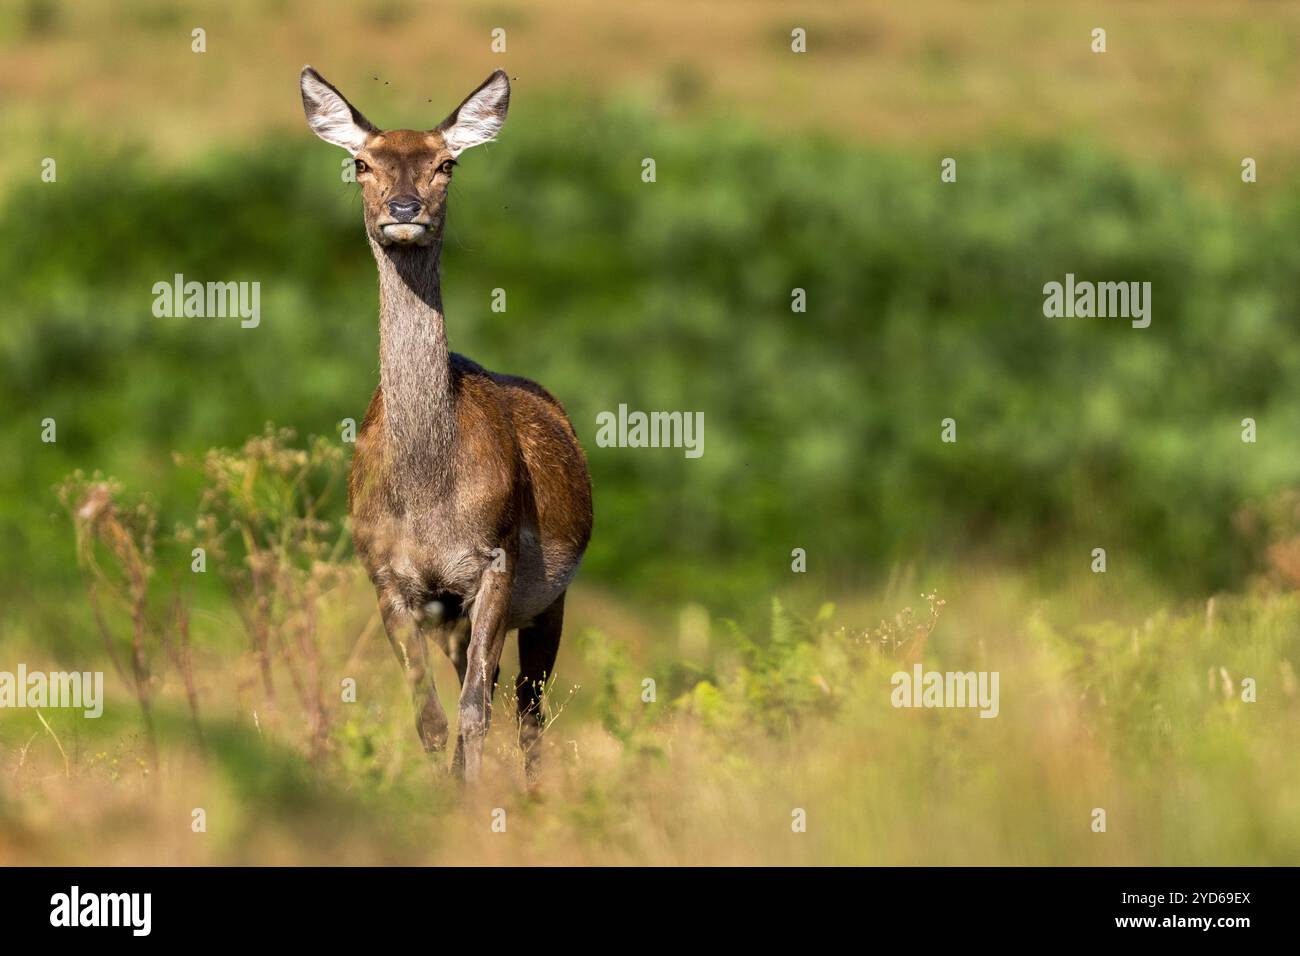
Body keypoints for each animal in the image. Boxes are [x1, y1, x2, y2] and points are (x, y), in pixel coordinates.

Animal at [299, 66, 593, 784]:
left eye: (446, 164)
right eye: (361, 163)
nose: (405, 211)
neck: (430, 495)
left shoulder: (496, 562)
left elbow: (475, 711)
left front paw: (476, 799)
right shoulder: (388, 577)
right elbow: (430, 719)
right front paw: (442, 795)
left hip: (550, 600)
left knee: (528, 710)